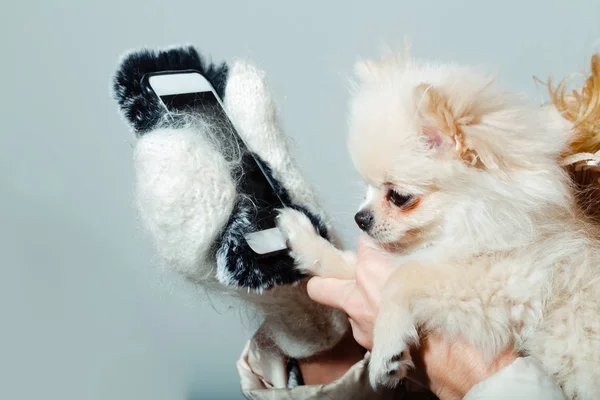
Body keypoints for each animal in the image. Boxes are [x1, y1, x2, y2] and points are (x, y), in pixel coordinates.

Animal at [278, 51, 600, 398]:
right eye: (366, 189)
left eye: (399, 196)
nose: (360, 218)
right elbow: (348, 264)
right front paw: (303, 237)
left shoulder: (502, 291)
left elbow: (401, 279)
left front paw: (386, 350)